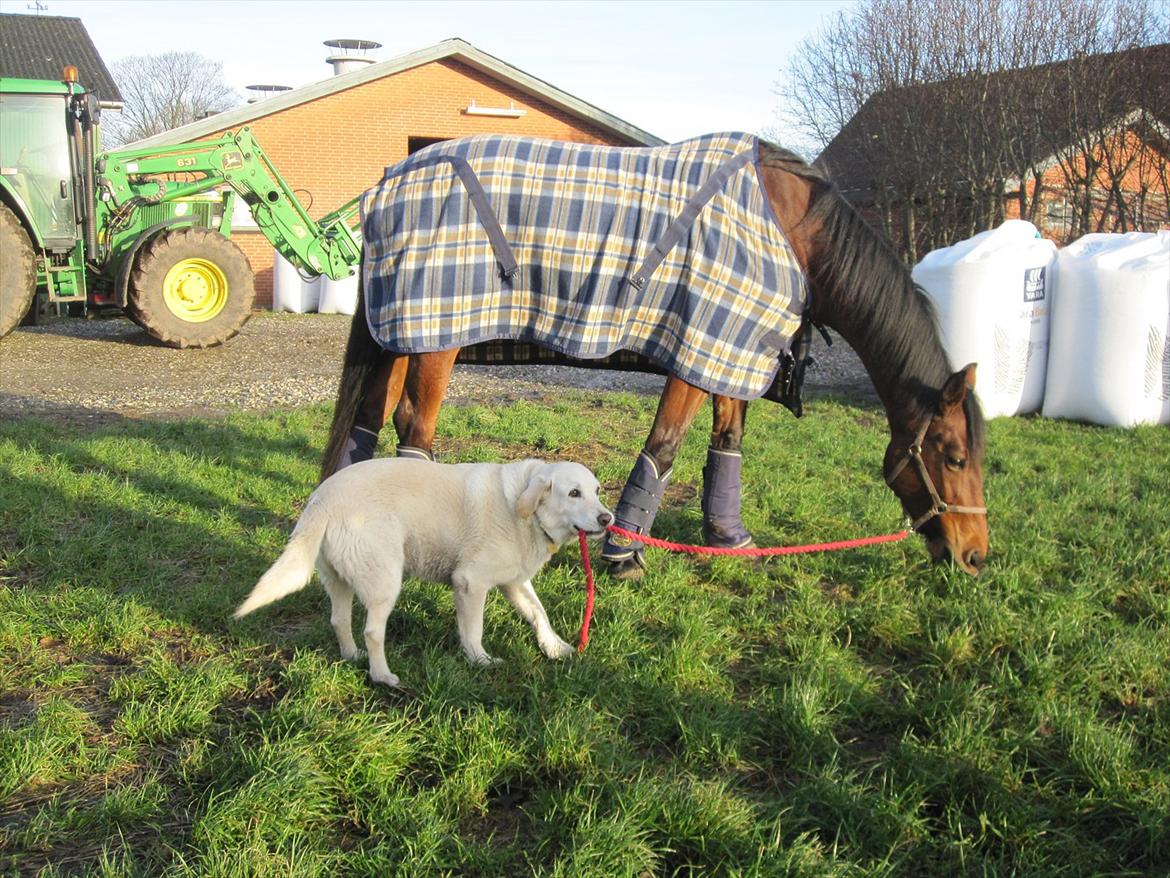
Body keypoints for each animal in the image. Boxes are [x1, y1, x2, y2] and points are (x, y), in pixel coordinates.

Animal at [229, 456, 613, 693]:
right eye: (573, 493)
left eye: (596, 491)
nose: (608, 519)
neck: (523, 508)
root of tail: (322, 500)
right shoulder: (471, 584)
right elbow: (473, 631)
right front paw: (480, 661)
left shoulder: (514, 583)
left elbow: (539, 614)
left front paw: (555, 648)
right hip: (386, 583)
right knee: (372, 632)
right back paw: (382, 676)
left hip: (340, 582)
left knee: (339, 621)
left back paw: (352, 656)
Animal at [320, 132, 987, 578]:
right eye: (953, 457)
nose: (976, 555)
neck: (797, 235)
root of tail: (387, 182)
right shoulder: (696, 349)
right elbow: (664, 446)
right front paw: (624, 554)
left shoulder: (730, 351)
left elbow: (727, 441)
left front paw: (728, 538)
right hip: (437, 338)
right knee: (414, 426)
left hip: (401, 337)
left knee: (369, 422)